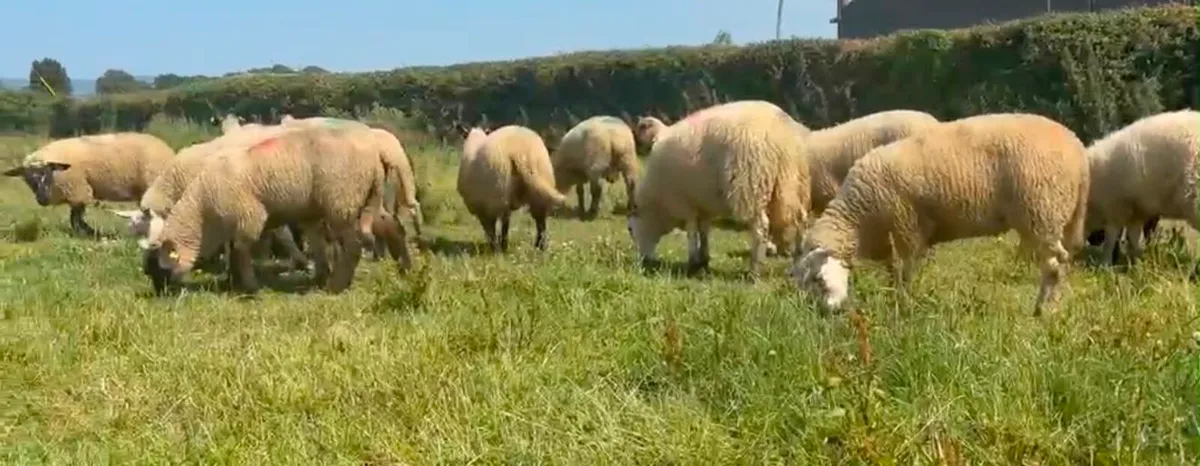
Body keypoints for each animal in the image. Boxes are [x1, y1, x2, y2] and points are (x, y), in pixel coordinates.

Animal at [4, 132, 176, 237]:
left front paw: (91, 232)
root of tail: (170, 152)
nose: (42, 199)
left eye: (48, 172)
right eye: (28, 180)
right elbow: (75, 218)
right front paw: (88, 232)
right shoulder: (77, 192)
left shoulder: (78, 191)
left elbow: (76, 218)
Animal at [140, 124, 411, 295]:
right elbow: (234, 250)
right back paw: (403, 268)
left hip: (342, 201)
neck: (202, 213)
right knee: (388, 226)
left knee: (353, 246)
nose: (159, 293)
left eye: (160, 268)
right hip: (359, 200)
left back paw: (336, 285)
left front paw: (248, 287)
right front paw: (234, 281)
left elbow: (240, 251)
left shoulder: (249, 217)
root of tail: (375, 156)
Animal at [627, 100, 812, 278]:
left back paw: (754, 270)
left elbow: (691, 232)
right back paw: (797, 263)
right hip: (794, 184)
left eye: (630, 229)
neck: (657, 204)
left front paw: (693, 262)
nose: (644, 261)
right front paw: (703, 260)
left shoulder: (685, 203)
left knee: (761, 228)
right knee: (801, 220)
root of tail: (782, 135)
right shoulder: (703, 203)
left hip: (751, 186)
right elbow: (704, 230)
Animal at [1082, 109, 1199, 269]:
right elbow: (1133, 238)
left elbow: (1111, 238)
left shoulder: (1115, 207)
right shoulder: (1136, 211)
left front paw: (1105, 265)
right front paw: (1135, 264)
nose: (1094, 241)